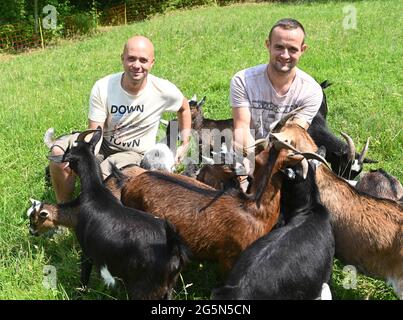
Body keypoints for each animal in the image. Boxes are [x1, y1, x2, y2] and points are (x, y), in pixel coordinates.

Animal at [47, 127, 191, 300]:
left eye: (69, 153)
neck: (95, 193)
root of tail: (173, 247)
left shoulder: (86, 251)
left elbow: (84, 275)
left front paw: (80, 292)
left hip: (144, 289)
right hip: (168, 287)